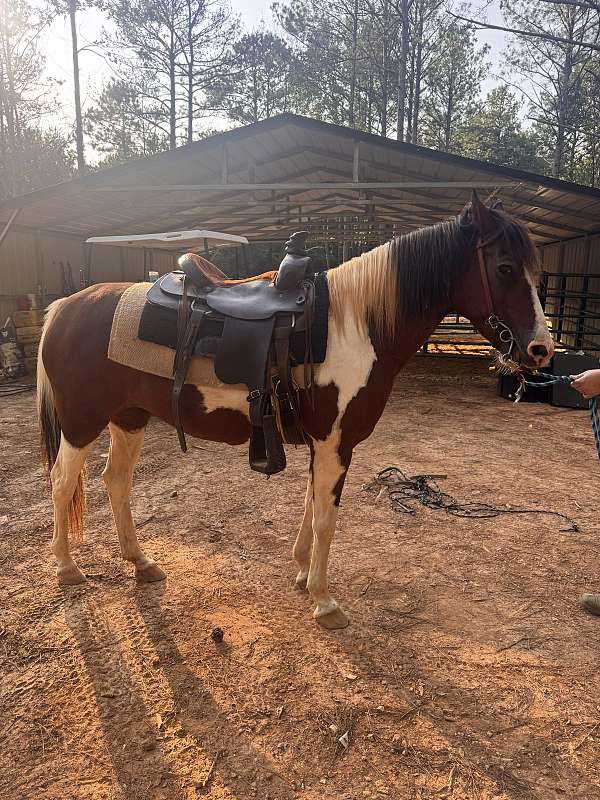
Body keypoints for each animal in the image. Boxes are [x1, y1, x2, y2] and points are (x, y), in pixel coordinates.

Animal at [37, 192, 553, 630]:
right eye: (505, 267)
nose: (540, 349)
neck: (355, 327)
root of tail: (65, 306)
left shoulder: (320, 444)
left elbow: (311, 505)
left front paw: (303, 574)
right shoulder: (335, 443)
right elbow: (327, 518)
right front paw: (325, 601)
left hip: (128, 419)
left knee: (115, 482)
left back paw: (140, 562)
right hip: (81, 424)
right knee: (62, 484)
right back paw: (67, 568)